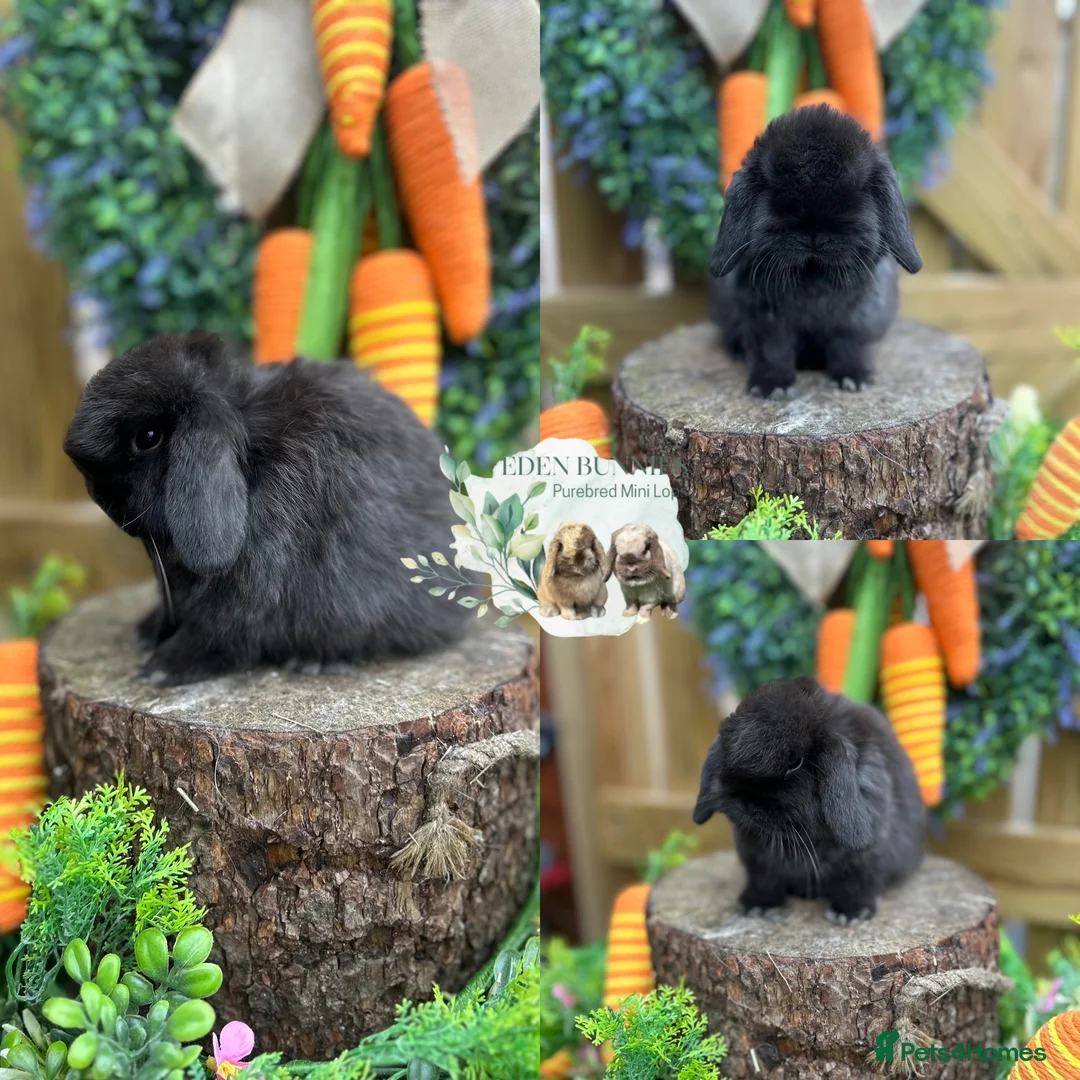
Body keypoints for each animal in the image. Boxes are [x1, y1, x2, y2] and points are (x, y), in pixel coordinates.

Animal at [63, 331, 471, 686]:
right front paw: (147, 632)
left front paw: (160, 669)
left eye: (147, 438)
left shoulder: (247, 587)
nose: (94, 488)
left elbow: (219, 631)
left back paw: (317, 661)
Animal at [692, 676, 925, 925]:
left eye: (795, 762)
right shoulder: (758, 862)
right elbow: (763, 880)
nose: (748, 804)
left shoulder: (865, 859)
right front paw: (756, 906)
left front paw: (850, 914)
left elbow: (858, 882)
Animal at [707, 104, 922, 400]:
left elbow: (849, 346)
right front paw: (770, 387)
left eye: (858, 186)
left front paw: (854, 379)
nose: (814, 230)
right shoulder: (766, 319)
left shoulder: (856, 319)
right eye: (772, 186)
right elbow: (772, 351)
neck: (813, 276)